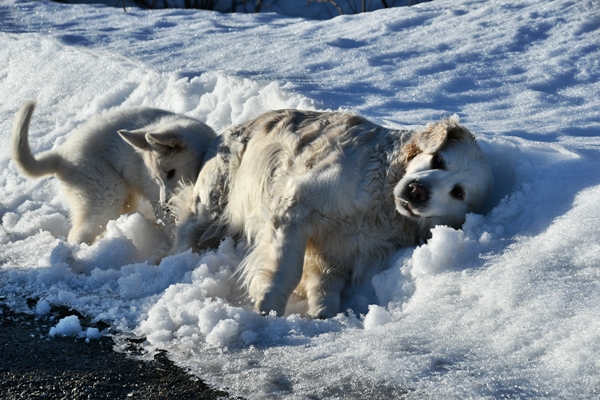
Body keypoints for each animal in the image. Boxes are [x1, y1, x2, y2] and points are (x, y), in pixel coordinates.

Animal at [11, 100, 216, 244]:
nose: (166, 205)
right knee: (78, 235)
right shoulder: (156, 197)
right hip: (107, 196)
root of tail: (62, 156)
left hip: (122, 199)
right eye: (159, 177)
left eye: (170, 172)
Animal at [170, 109, 492, 318]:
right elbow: (287, 269)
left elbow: (326, 285)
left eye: (458, 192)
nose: (417, 191)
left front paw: (321, 313)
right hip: (213, 197)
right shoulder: (297, 204)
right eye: (438, 160)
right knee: (187, 230)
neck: (381, 205)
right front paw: (268, 308)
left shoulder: (336, 253)